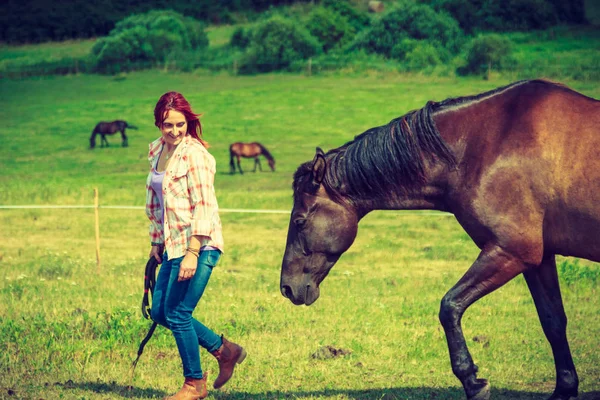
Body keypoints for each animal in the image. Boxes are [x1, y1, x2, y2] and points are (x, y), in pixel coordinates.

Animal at [282, 79, 600, 400]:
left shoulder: (511, 251)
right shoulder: (538, 259)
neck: (486, 145)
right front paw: (564, 388)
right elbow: (553, 322)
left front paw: (473, 381)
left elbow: (450, 306)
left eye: (299, 221)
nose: (287, 287)